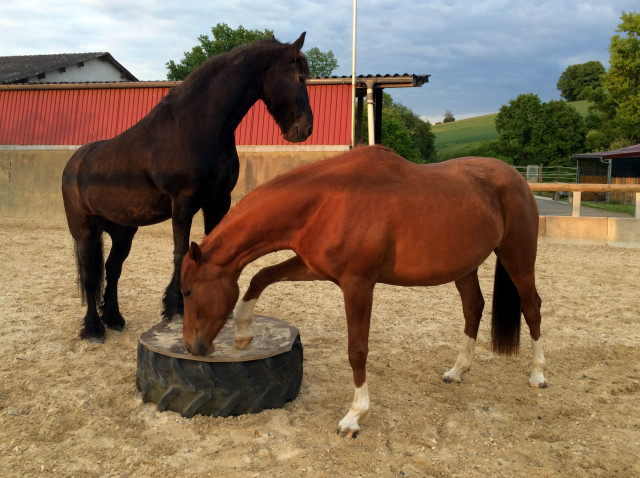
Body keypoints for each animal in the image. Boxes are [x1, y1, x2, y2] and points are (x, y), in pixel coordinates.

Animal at [62, 32, 316, 340]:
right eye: (300, 78)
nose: (305, 129)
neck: (195, 126)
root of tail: (75, 162)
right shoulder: (183, 203)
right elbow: (180, 253)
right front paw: (176, 307)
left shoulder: (218, 201)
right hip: (84, 230)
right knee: (90, 275)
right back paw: (94, 327)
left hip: (123, 231)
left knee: (112, 268)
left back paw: (113, 318)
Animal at [180, 145, 544, 436]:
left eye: (186, 292)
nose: (193, 347)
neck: (327, 200)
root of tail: (516, 178)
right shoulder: (314, 268)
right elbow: (260, 277)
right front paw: (243, 331)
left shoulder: (357, 284)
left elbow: (357, 350)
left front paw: (355, 415)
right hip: (464, 268)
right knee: (473, 307)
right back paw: (457, 370)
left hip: (518, 259)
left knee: (532, 308)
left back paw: (538, 374)